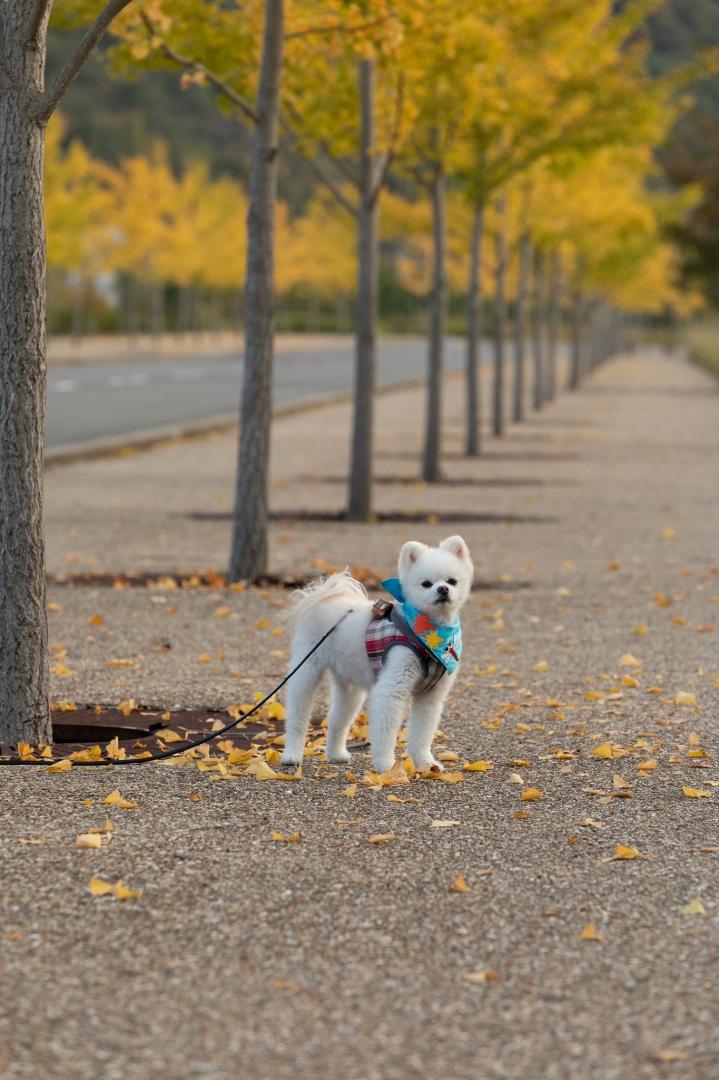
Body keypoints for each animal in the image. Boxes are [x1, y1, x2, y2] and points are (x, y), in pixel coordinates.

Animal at [280, 535, 470, 773]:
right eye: (426, 584)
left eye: (452, 581)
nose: (443, 589)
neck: (429, 632)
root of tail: (325, 593)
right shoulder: (391, 689)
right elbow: (386, 732)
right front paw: (387, 767)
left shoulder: (430, 697)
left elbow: (422, 733)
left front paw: (425, 763)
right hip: (307, 669)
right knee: (298, 716)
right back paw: (292, 755)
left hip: (349, 687)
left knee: (336, 719)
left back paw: (336, 754)